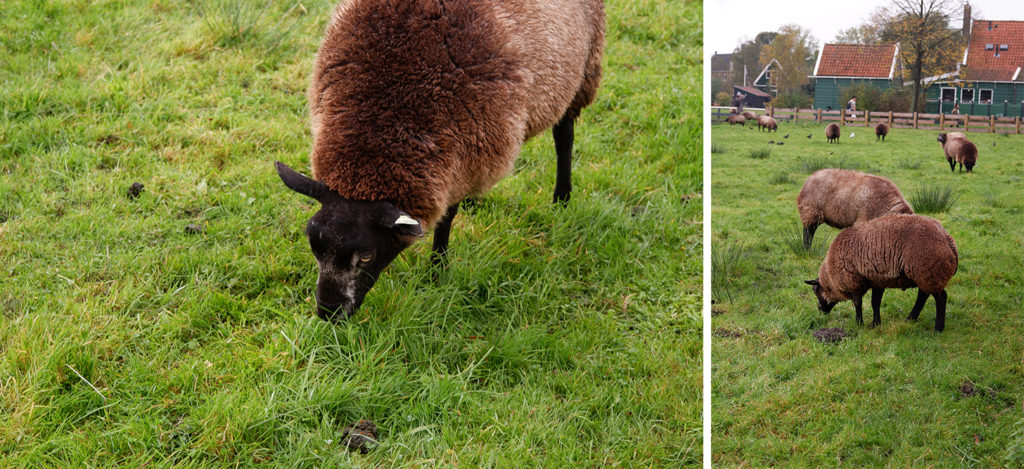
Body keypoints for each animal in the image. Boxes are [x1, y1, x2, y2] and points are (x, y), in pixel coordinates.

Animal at [276, 0, 602, 321]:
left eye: (366, 256)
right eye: (314, 245)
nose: (327, 313)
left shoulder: (461, 158)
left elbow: (446, 219)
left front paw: (437, 270)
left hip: (583, 70)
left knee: (564, 134)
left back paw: (562, 199)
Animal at [806, 214, 958, 331]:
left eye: (815, 290)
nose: (820, 310)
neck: (831, 275)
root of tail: (948, 239)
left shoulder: (853, 281)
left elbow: (858, 304)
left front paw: (859, 324)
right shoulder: (877, 280)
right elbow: (875, 303)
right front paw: (875, 323)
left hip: (930, 272)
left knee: (941, 297)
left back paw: (938, 328)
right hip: (925, 275)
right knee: (923, 295)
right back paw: (910, 319)